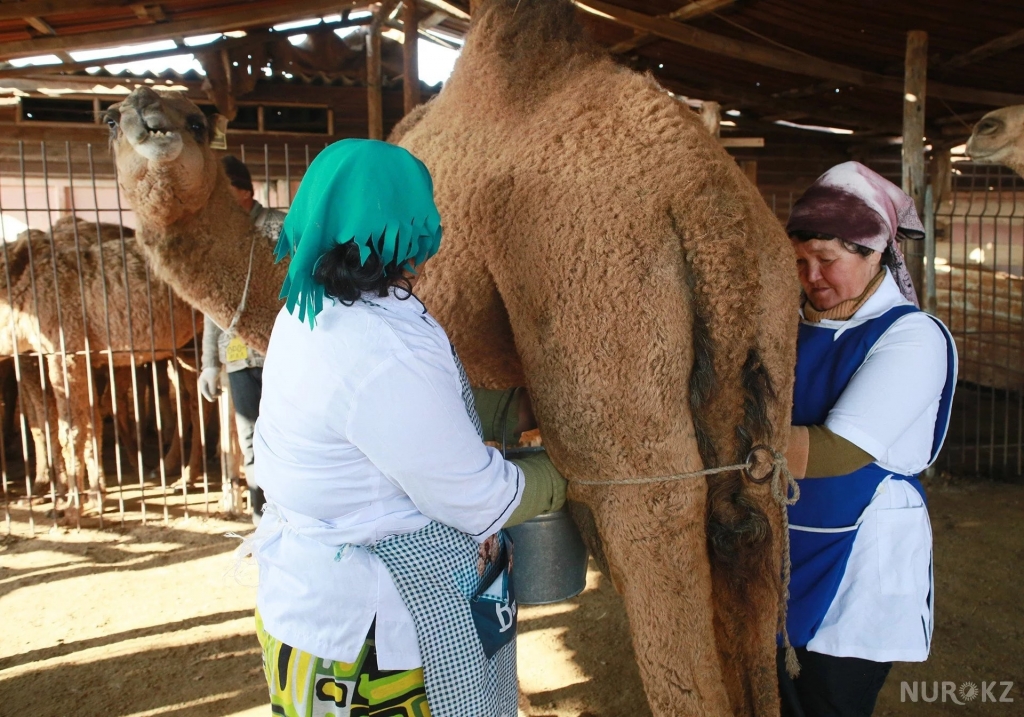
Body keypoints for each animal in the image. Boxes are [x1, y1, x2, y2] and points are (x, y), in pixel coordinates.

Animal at [0, 218, 203, 503]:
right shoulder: (74, 358)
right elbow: (75, 421)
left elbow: (67, 428)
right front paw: (92, 492)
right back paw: (180, 472)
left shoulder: (64, 352)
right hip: (186, 347)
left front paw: (71, 500)